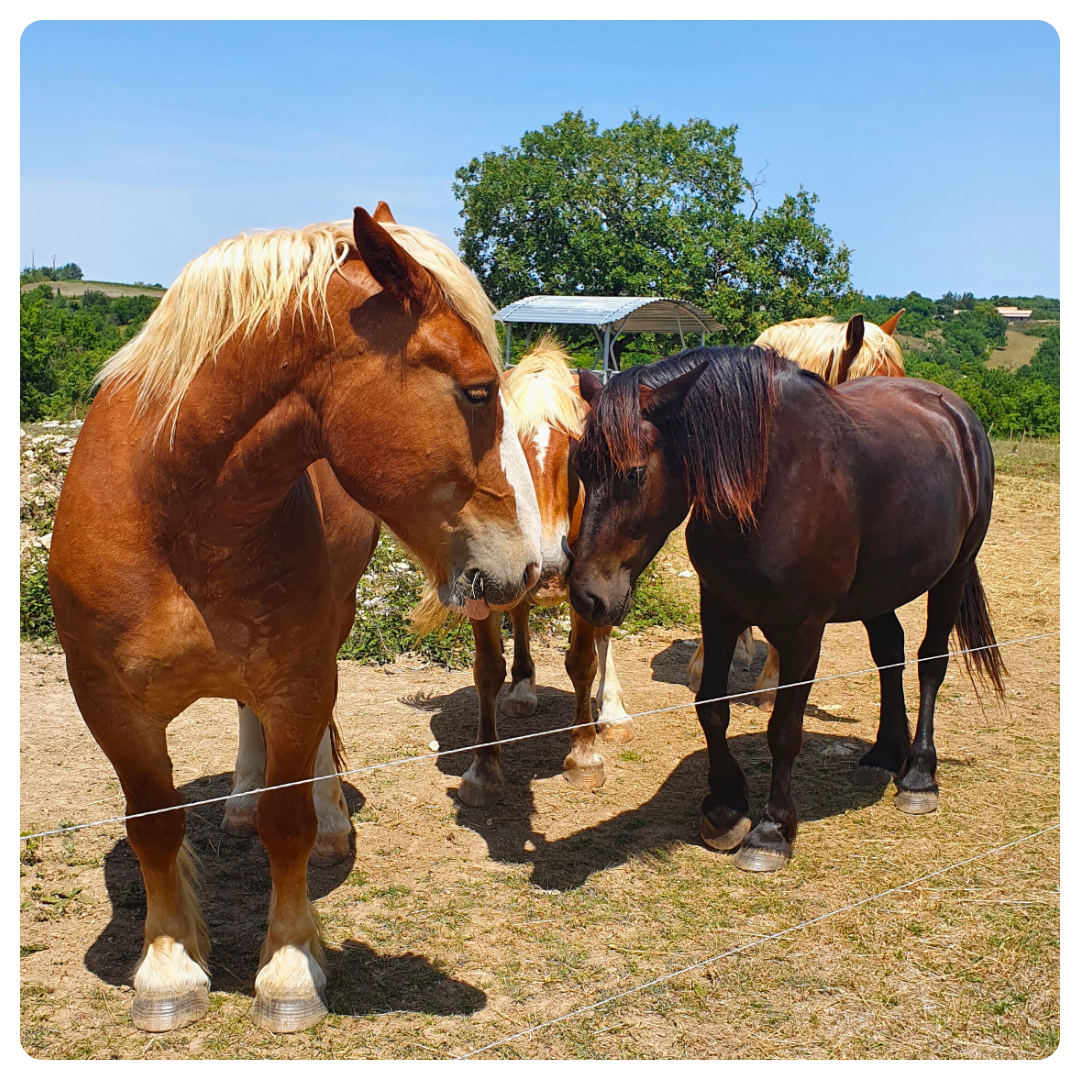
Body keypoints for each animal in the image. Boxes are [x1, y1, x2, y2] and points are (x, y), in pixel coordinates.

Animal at [48, 198, 540, 1032]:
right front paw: (169, 968)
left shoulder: (299, 679)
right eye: (477, 390)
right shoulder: (107, 701)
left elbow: (289, 826)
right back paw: (241, 799)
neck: (176, 516)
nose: (529, 565)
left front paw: (287, 972)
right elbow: (153, 824)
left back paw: (328, 817)